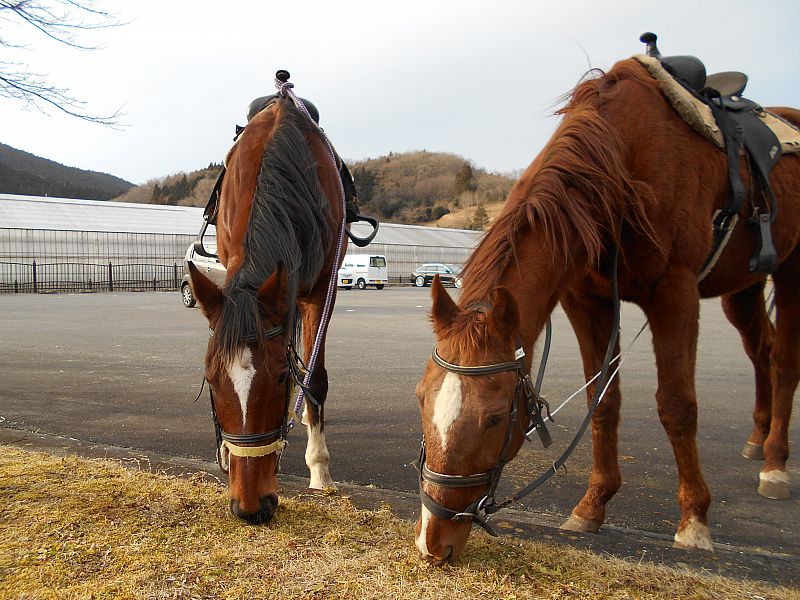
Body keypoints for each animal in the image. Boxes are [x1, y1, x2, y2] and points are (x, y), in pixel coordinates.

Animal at [191, 94, 346, 524]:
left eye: (280, 379)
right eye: (211, 380)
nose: (249, 506)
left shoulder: (321, 291)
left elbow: (314, 379)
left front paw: (320, 469)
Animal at [416, 57, 796, 564]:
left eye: (495, 418)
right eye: (420, 397)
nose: (433, 541)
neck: (619, 169)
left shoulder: (675, 292)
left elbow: (677, 406)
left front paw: (694, 519)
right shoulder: (585, 300)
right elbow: (603, 401)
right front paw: (592, 505)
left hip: (792, 273)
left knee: (784, 361)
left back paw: (775, 463)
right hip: (745, 288)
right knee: (762, 351)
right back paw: (758, 440)